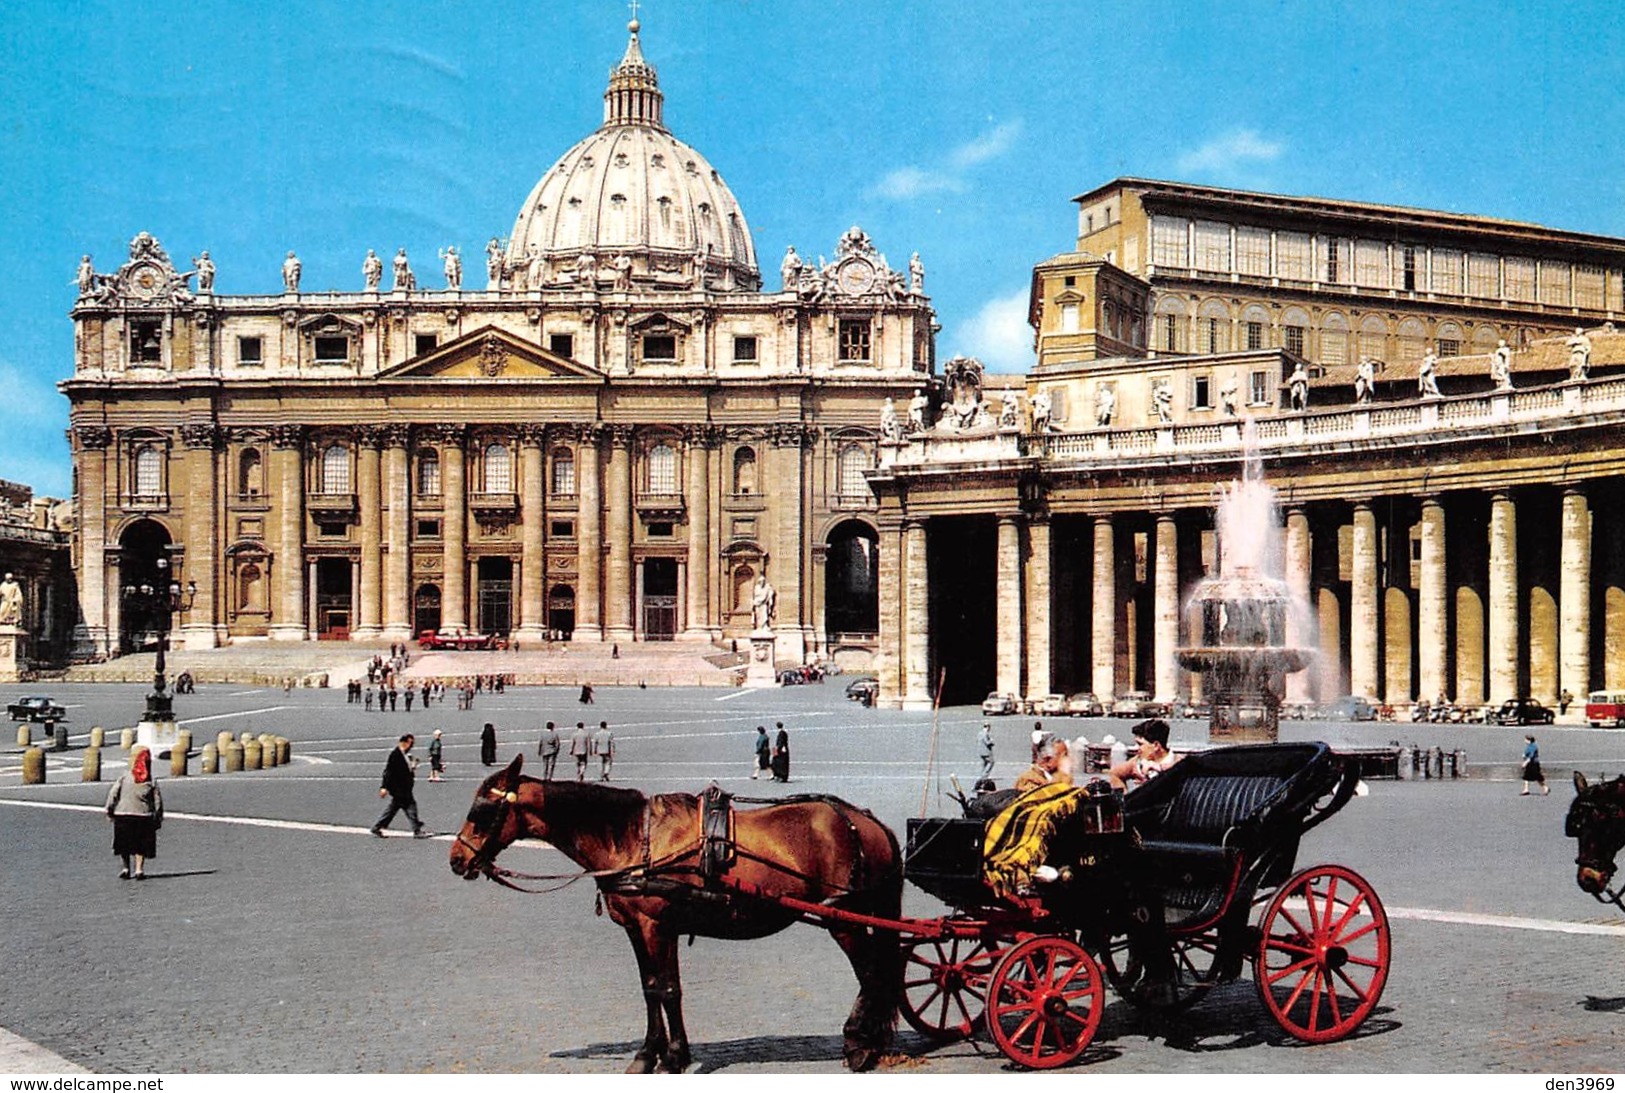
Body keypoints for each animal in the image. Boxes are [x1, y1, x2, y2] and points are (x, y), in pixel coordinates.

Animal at [448, 753, 903, 1071]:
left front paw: (673, 1058)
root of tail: (867, 820)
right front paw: (649, 1055)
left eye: (481, 812)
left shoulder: (657, 927)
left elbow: (667, 989)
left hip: (843, 918)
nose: (456, 860)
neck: (633, 839)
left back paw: (860, 1046)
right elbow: (652, 988)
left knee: (872, 973)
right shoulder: (637, 928)